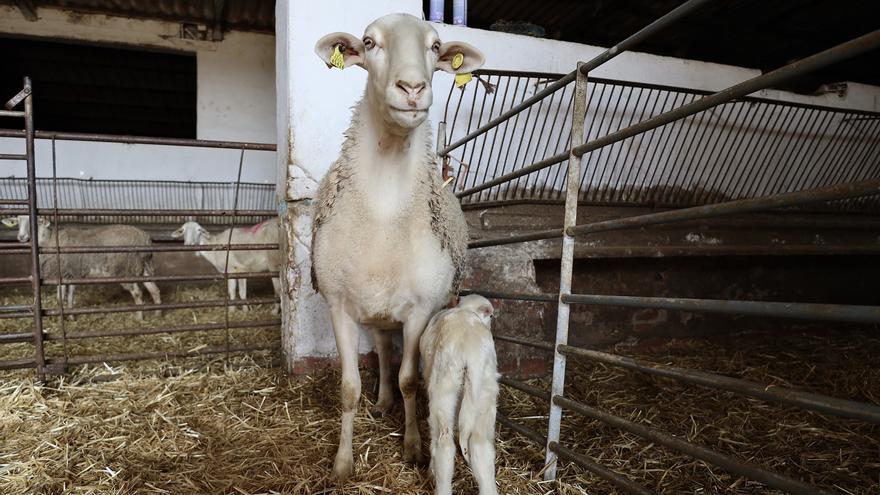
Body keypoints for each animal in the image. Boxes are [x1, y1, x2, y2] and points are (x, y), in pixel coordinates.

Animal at [1, 215, 162, 320]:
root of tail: (144, 238)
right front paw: (72, 317)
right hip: (143, 267)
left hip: (125, 269)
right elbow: (70, 298)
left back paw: (139, 317)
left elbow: (60, 299)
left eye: (36, 222)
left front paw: (61, 319)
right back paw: (158, 314)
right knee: (154, 289)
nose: (21, 237)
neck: (49, 241)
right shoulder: (71, 275)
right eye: (17, 222)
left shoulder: (61, 273)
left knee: (137, 293)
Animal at [312, 12, 484, 480]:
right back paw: (383, 400)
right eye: (369, 42)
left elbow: (410, 379)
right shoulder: (338, 305)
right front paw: (342, 462)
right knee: (383, 355)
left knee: (394, 361)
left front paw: (412, 448)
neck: (384, 212)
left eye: (436, 45)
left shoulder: (420, 310)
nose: (412, 88)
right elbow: (349, 387)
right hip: (373, 312)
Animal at [418, 296, 496, 494]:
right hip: (486, 392)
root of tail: (471, 353)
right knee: (480, 445)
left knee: (444, 444)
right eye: (491, 316)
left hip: (443, 388)